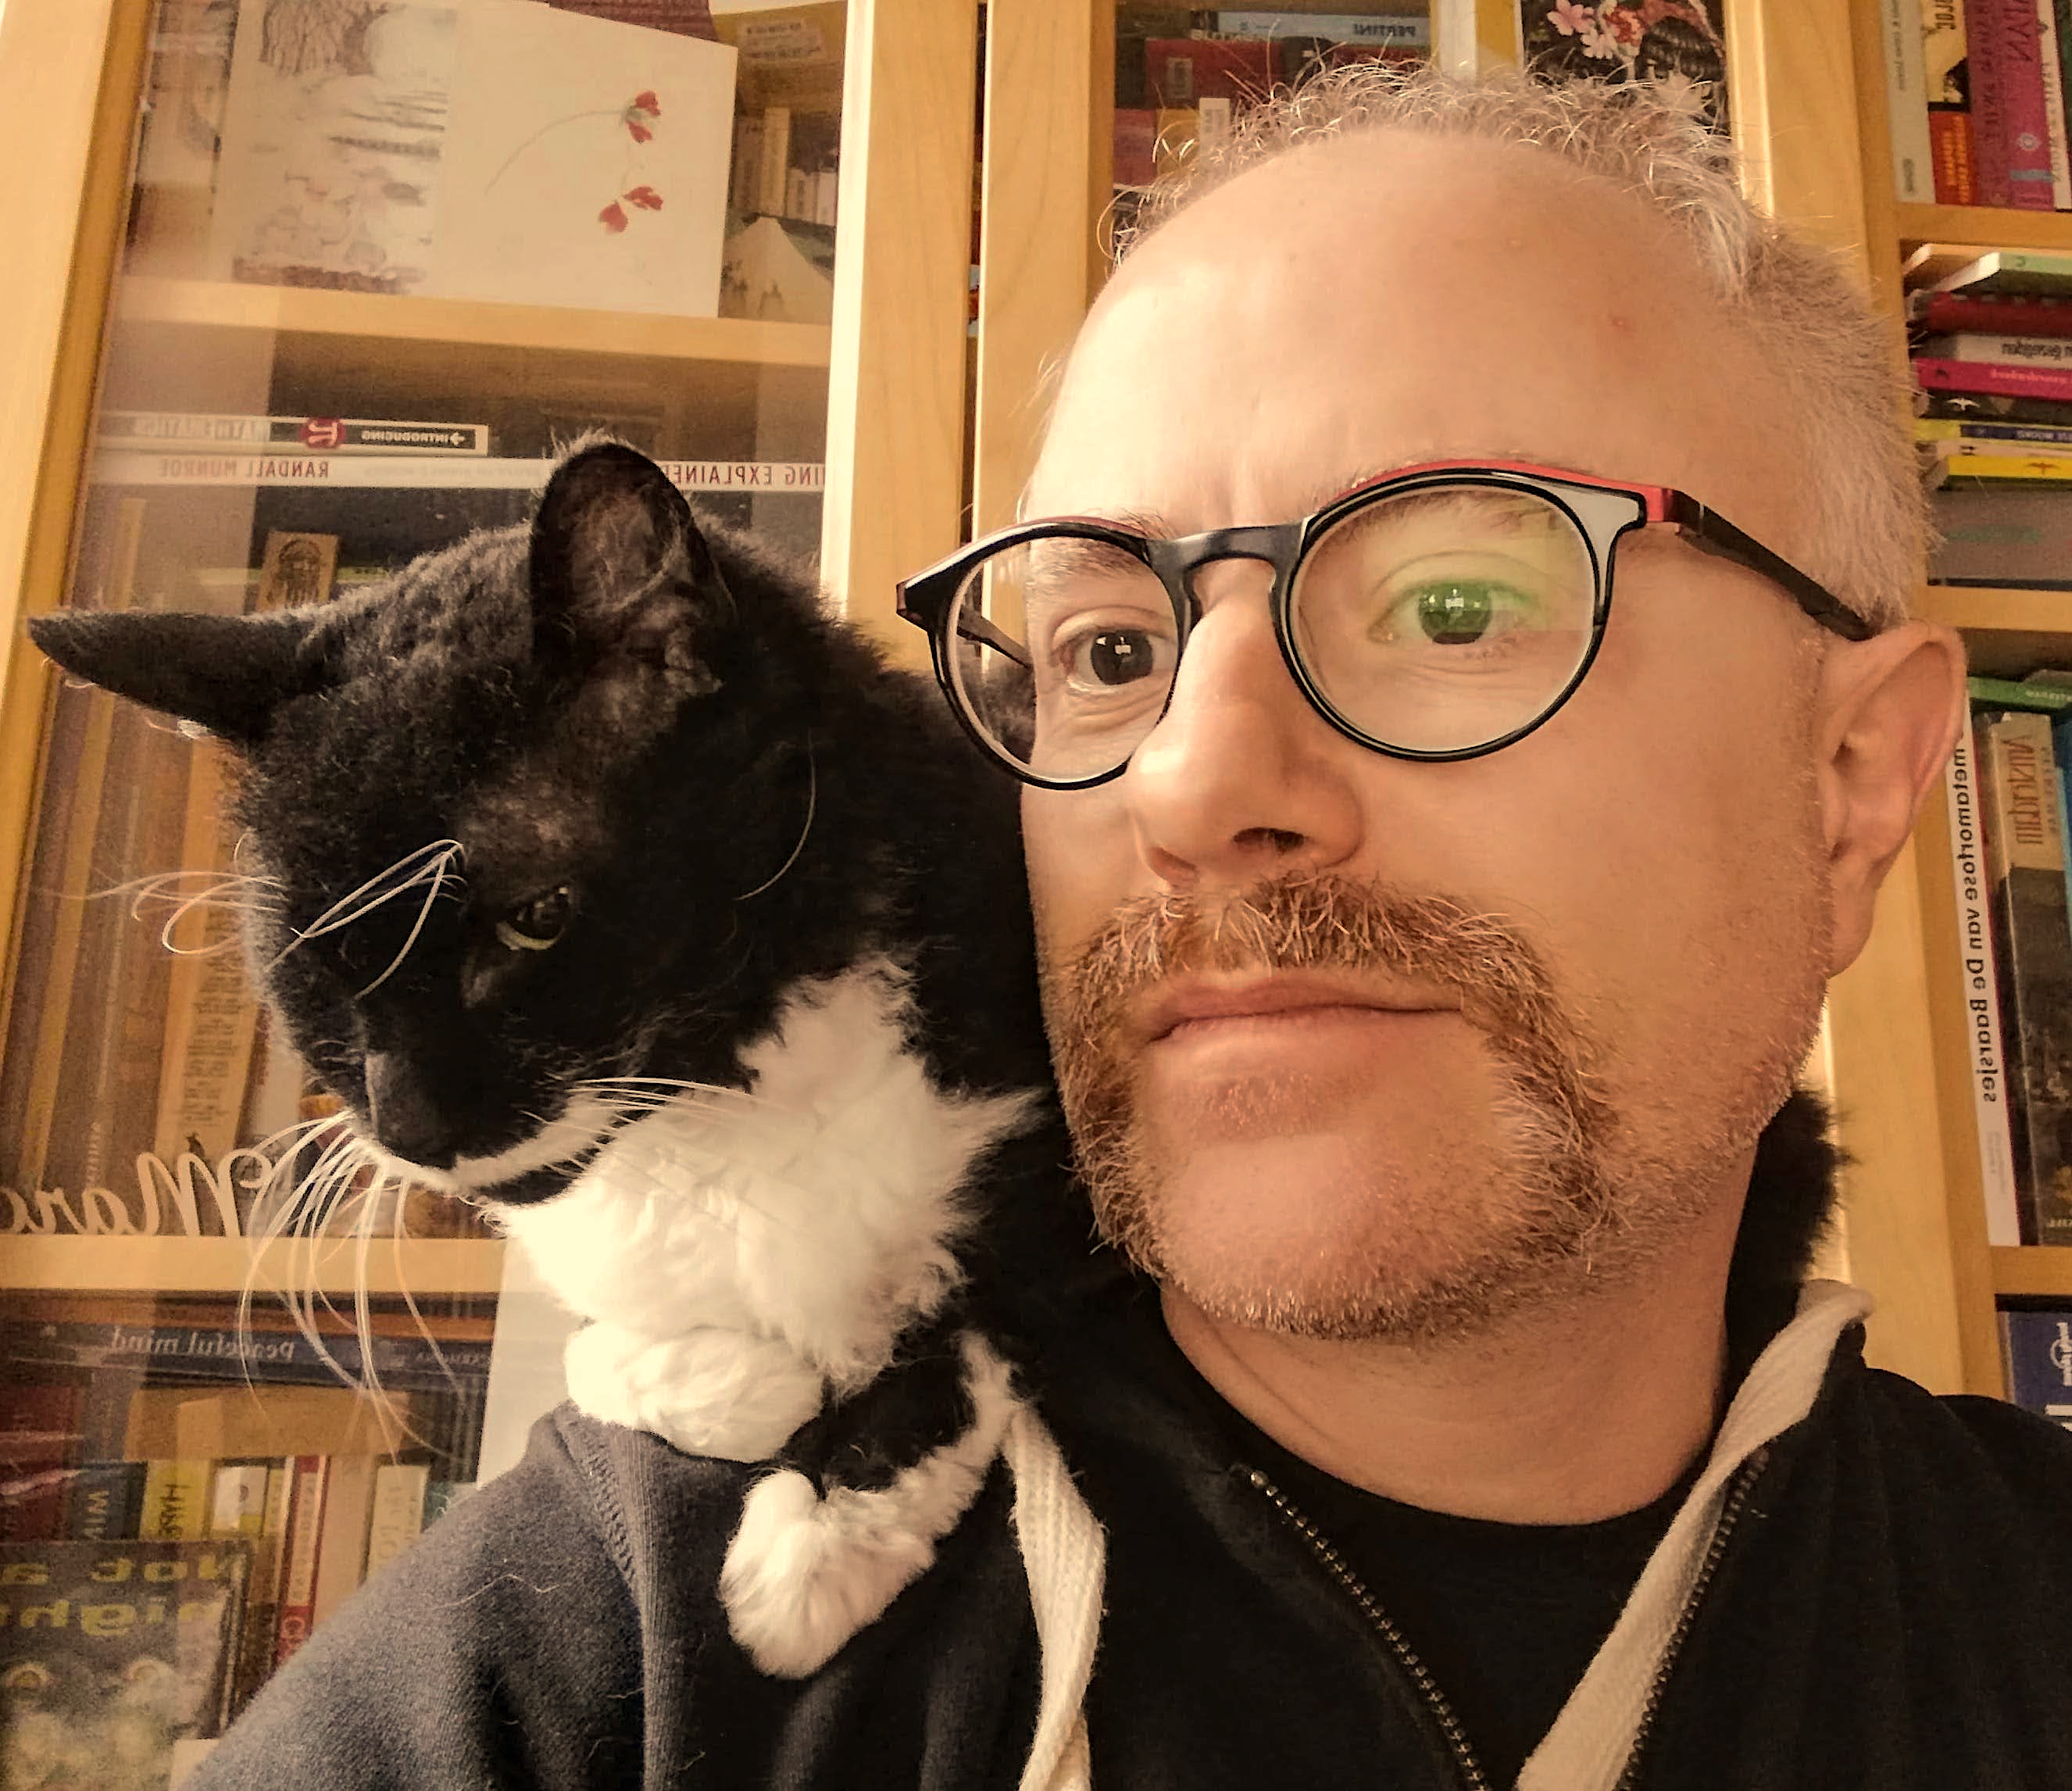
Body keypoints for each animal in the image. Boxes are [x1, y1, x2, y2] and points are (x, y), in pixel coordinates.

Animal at [28, 443, 1085, 1675]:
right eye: (311, 958)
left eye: (534, 917)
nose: (411, 1124)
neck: (717, 1106)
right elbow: (590, 1348)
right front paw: (739, 1383)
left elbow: (974, 1312)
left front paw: (805, 1559)